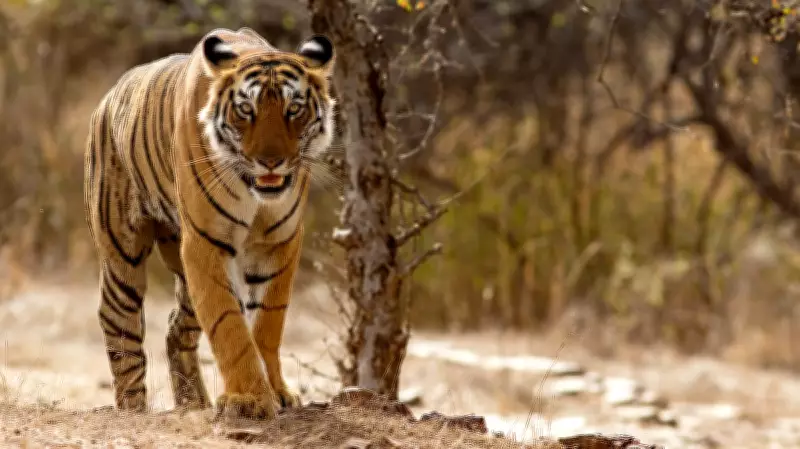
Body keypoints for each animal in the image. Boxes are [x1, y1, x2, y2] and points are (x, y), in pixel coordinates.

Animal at [83, 27, 337, 420]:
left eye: (293, 108)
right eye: (246, 110)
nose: (271, 162)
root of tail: (109, 97)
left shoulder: (279, 241)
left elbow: (267, 322)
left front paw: (277, 392)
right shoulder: (206, 243)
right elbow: (228, 323)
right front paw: (248, 399)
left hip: (183, 277)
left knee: (176, 328)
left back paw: (192, 402)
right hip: (122, 253)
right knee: (118, 322)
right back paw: (132, 408)